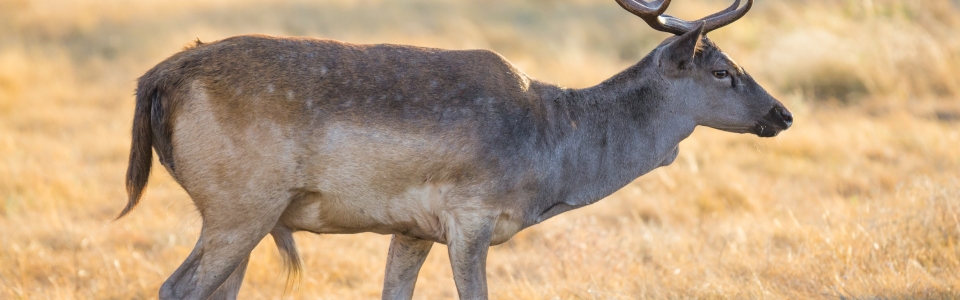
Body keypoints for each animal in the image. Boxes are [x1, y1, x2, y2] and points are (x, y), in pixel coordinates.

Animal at [120, 0, 796, 298]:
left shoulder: (413, 227)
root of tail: (156, 77)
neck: (554, 151)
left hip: (240, 216)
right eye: (722, 73)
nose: (782, 114)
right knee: (175, 288)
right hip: (242, 206)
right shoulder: (471, 216)